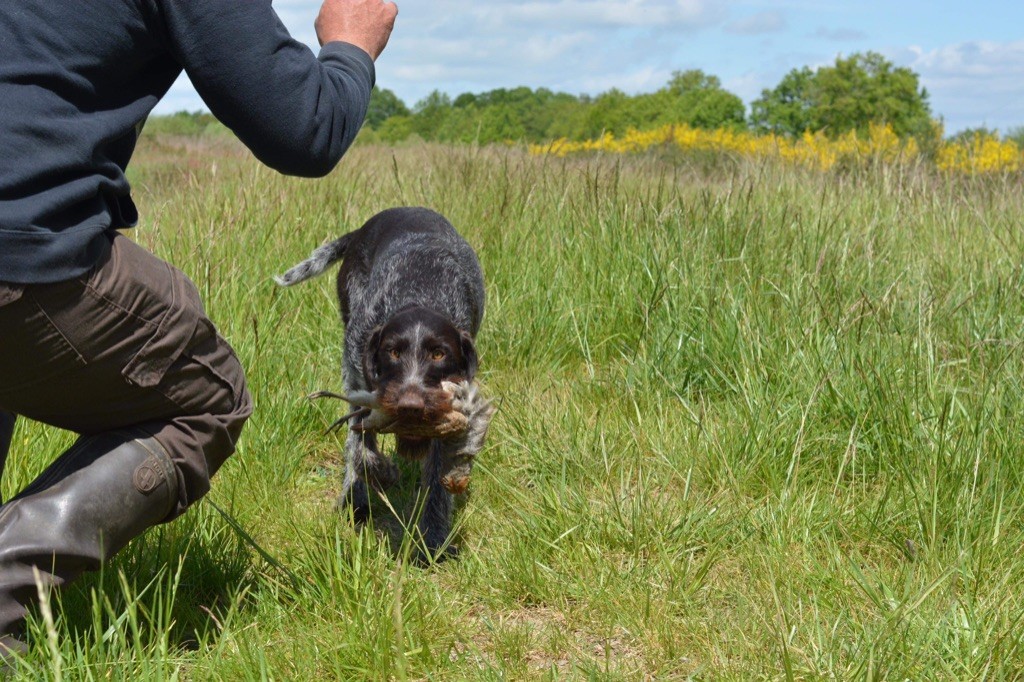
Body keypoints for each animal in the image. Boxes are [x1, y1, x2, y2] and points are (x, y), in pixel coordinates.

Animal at [276, 205, 491, 557]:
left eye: (439, 354)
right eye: (393, 352)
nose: (411, 406)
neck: (419, 295)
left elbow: (437, 479)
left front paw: (432, 539)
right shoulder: (356, 379)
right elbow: (360, 448)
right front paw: (378, 476)